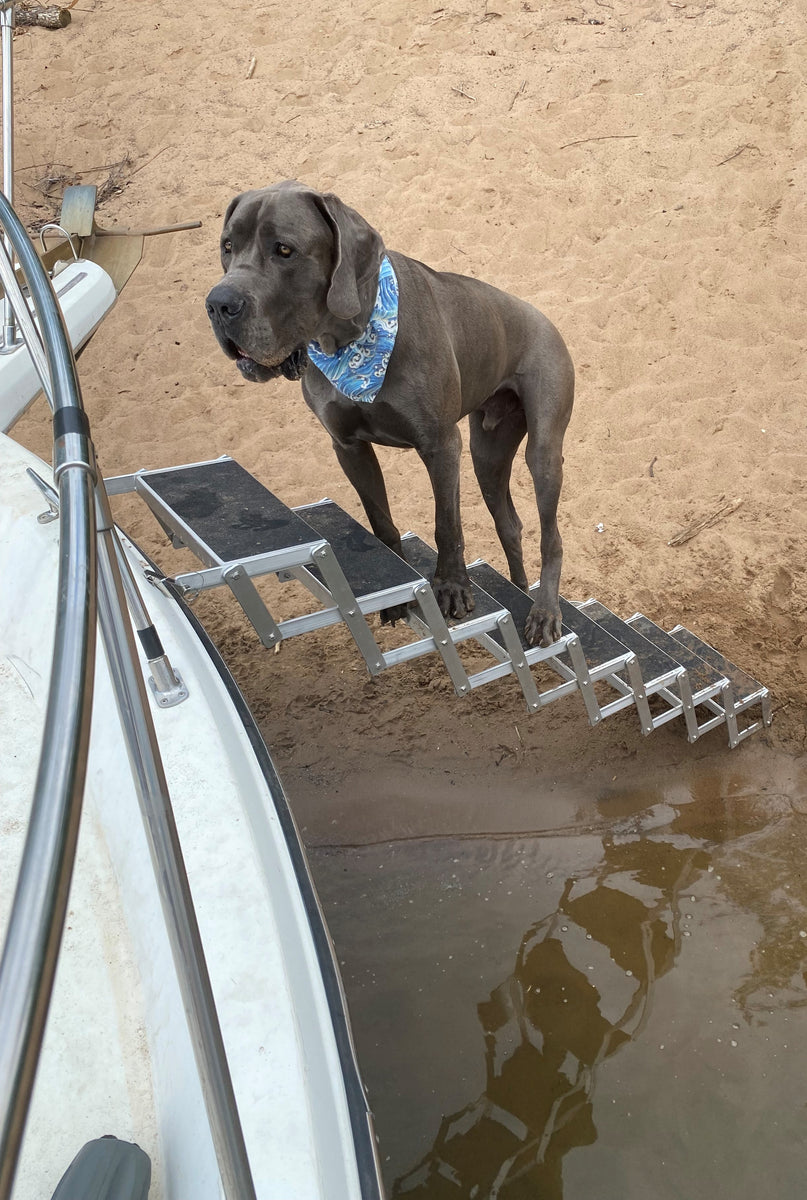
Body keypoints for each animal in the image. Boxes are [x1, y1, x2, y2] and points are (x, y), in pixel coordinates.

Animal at [206, 178, 574, 648]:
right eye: (227, 246)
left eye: (284, 249)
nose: (218, 304)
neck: (352, 344)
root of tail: (543, 316)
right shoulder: (348, 447)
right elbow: (380, 522)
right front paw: (397, 595)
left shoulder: (440, 444)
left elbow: (446, 524)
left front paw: (452, 587)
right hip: (488, 454)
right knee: (509, 523)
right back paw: (518, 586)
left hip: (542, 444)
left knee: (552, 535)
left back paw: (544, 610)